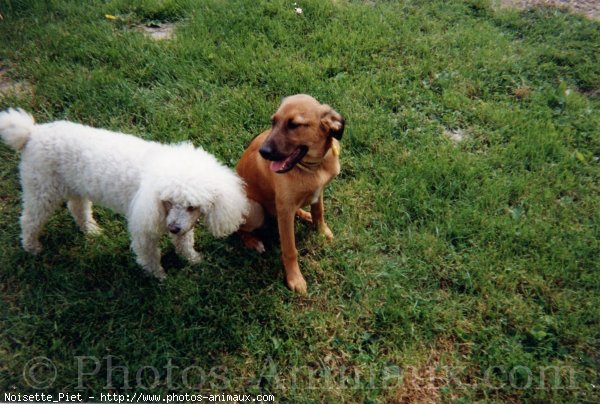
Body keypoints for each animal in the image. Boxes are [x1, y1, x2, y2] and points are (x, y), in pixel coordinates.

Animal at [0, 109, 248, 280]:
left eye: (192, 206)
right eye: (167, 202)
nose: (173, 228)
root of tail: (33, 133)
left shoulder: (183, 224)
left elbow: (185, 242)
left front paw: (194, 259)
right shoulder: (144, 226)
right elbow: (149, 255)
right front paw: (158, 276)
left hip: (75, 186)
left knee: (77, 207)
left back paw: (91, 230)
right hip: (41, 189)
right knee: (30, 219)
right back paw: (32, 247)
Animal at [237, 94, 344, 294]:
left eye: (294, 125)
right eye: (273, 122)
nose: (264, 152)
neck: (313, 167)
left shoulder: (318, 191)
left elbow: (319, 212)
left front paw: (322, 230)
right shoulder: (285, 211)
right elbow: (290, 249)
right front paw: (295, 279)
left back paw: (305, 215)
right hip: (255, 210)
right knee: (239, 229)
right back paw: (253, 241)